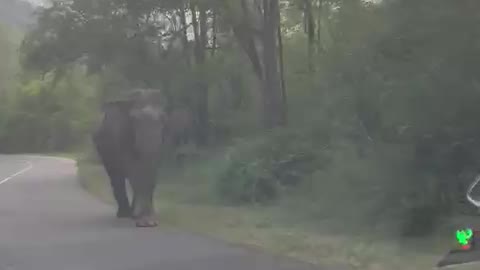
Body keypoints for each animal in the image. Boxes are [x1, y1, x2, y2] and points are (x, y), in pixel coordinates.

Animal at [92, 89, 169, 227]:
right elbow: (134, 170)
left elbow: (152, 169)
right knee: (116, 178)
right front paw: (145, 222)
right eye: (134, 119)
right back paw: (124, 214)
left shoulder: (162, 141)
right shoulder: (121, 134)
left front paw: (150, 220)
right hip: (104, 150)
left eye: (163, 118)